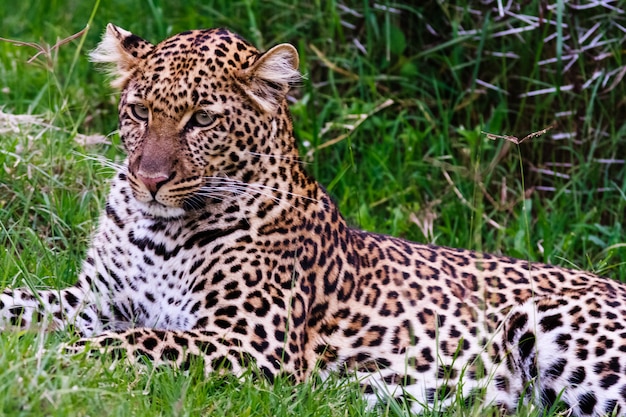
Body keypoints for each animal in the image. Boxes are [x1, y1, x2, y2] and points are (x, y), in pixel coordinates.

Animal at [1, 23, 624, 416]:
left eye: (201, 120)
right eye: (138, 112)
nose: (148, 180)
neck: (157, 230)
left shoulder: (252, 343)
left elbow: (130, 344)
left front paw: (52, 363)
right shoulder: (96, 299)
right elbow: (24, 304)